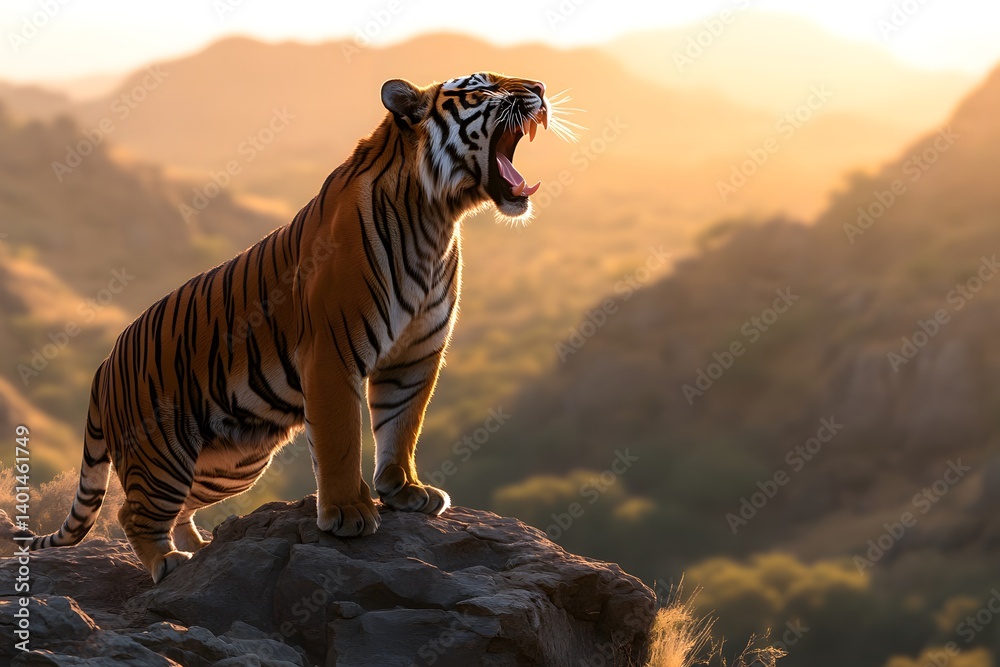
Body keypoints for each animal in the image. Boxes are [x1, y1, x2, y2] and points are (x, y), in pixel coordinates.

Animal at [24, 72, 550, 583]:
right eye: (484, 87)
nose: (542, 89)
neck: (436, 217)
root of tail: (103, 365)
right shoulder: (332, 353)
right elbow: (341, 439)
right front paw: (348, 513)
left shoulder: (416, 354)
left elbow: (402, 424)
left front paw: (404, 489)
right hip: (161, 452)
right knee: (131, 513)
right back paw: (169, 562)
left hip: (231, 464)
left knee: (179, 507)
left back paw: (203, 545)